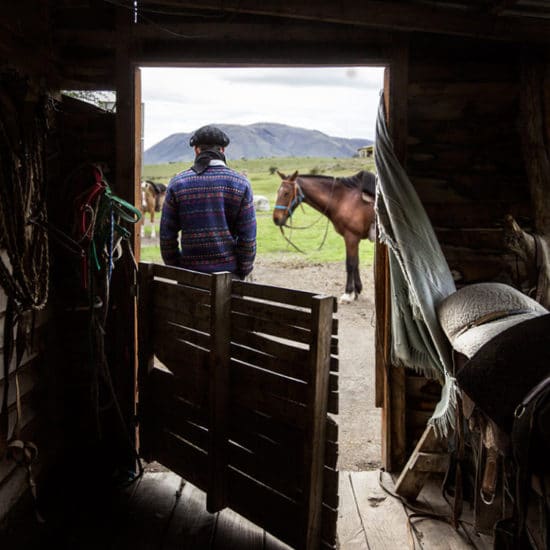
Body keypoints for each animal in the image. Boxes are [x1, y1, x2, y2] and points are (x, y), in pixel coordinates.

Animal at [272, 170, 378, 304]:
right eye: (278, 192)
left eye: (286, 193)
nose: (276, 219)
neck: (343, 199)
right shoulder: (355, 239)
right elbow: (356, 263)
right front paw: (357, 290)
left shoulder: (351, 237)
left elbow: (350, 264)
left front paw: (348, 293)